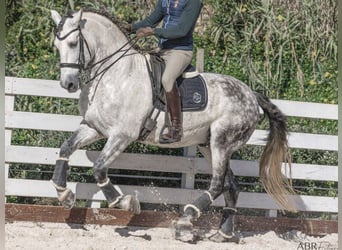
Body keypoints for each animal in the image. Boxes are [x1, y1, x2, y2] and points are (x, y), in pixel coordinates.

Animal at [49, 9, 296, 242]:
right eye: (56, 45)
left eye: (73, 43)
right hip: (208, 146)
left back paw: (186, 220)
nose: (68, 84)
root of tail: (252, 95)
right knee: (231, 186)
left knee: (217, 184)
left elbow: (99, 168)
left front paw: (125, 201)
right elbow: (66, 148)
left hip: (221, 143)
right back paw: (222, 233)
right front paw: (64, 194)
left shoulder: (122, 135)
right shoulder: (94, 127)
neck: (115, 74)